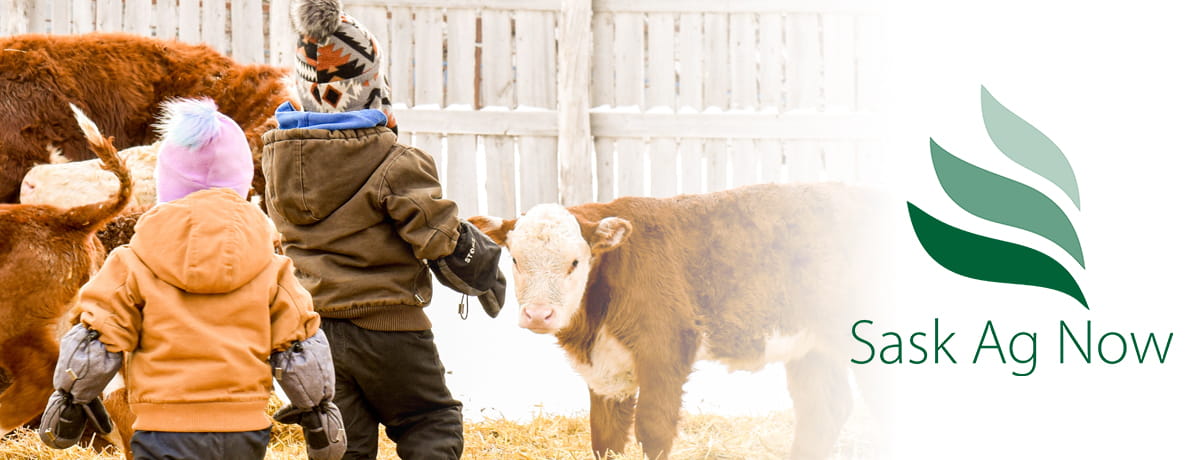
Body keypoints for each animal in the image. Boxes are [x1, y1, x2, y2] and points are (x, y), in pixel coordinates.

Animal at [468, 184, 888, 460]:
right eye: (515, 259)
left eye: (574, 262)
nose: (539, 313)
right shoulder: (607, 369)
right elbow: (605, 437)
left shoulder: (666, 346)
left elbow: (653, 429)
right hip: (813, 346)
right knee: (823, 408)